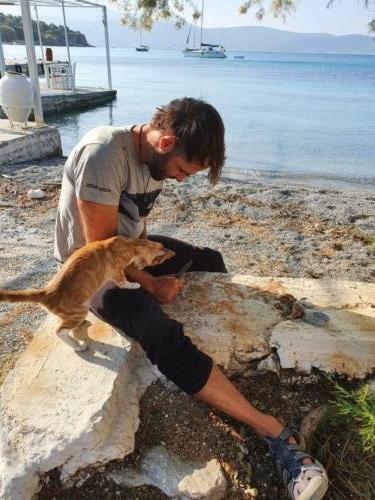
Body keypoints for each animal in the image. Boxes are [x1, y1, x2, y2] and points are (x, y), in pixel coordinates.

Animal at [0, 237, 175, 352]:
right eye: (151, 263)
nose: (141, 268)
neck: (129, 244)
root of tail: (46, 292)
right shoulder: (116, 271)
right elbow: (123, 282)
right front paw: (133, 284)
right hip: (79, 309)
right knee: (59, 331)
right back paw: (78, 346)